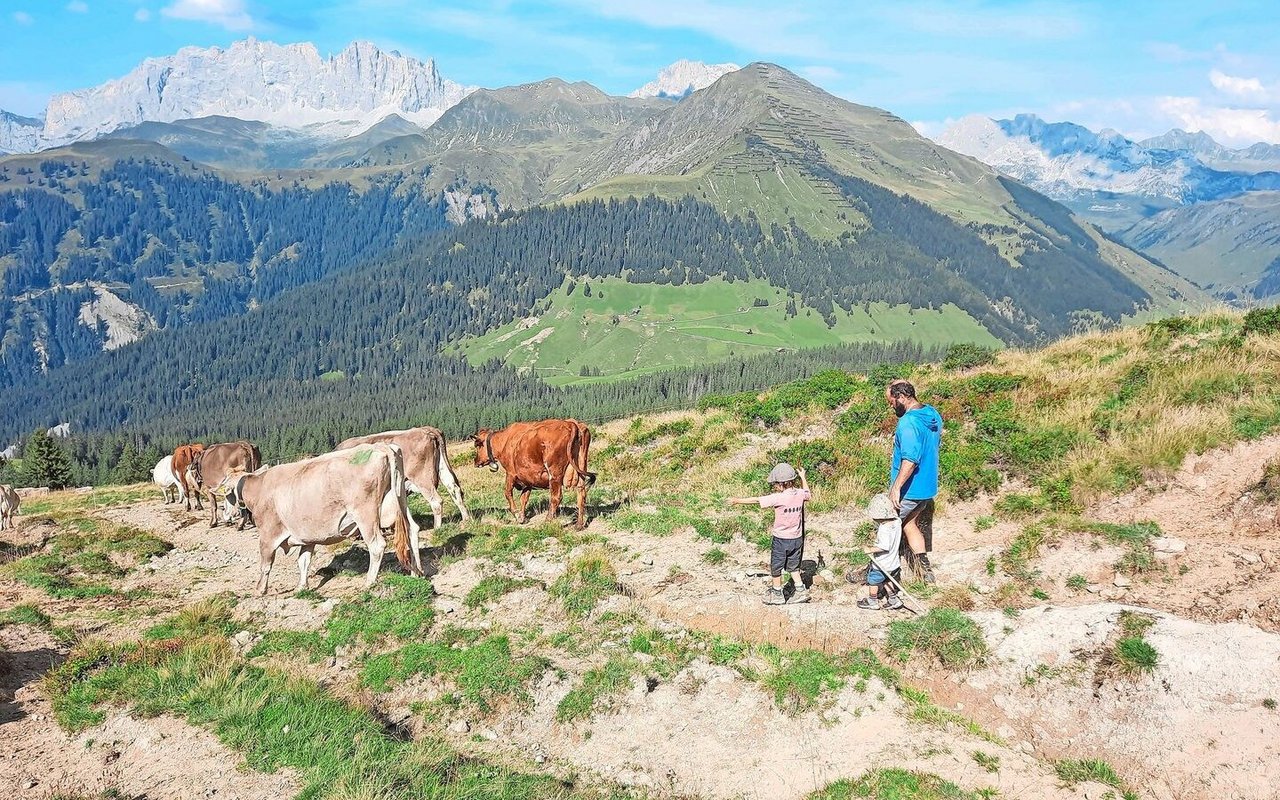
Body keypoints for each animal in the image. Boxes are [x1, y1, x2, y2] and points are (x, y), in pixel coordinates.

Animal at [220, 442, 419, 593]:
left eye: (226, 494)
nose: (225, 514)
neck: (259, 488)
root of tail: (381, 446)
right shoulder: (307, 536)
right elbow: (303, 561)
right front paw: (301, 587)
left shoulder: (268, 535)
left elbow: (266, 564)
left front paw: (260, 589)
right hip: (400, 498)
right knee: (412, 530)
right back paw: (416, 572)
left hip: (365, 513)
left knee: (377, 544)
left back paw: (370, 581)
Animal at [340, 424, 471, 529]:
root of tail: (427, 430)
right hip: (442, 467)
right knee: (455, 489)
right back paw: (466, 519)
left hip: (421, 477)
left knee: (436, 500)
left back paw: (437, 528)